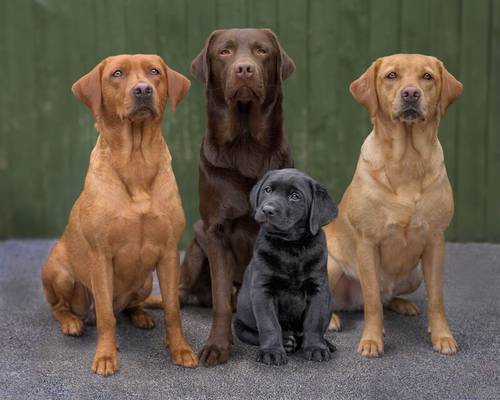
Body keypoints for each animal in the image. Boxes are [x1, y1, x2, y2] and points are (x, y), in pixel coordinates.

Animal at [41, 54, 197, 376]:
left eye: (154, 72)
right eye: (117, 74)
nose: (143, 90)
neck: (136, 161)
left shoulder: (169, 253)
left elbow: (173, 310)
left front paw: (180, 349)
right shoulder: (101, 257)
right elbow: (105, 317)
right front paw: (106, 355)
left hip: (145, 281)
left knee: (130, 306)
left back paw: (141, 315)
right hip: (60, 274)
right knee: (62, 308)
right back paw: (71, 322)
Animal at [233, 169, 336, 366]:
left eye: (295, 196)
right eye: (267, 190)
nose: (267, 209)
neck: (290, 247)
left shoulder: (318, 289)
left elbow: (314, 322)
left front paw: (316, 348)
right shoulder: (263, 289)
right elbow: (269, 324)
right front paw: (271, 352)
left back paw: (325, 343)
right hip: (239, 322)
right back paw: (287, 341)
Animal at [324, 52, 464, 356]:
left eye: (427, 76)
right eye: (391, 76)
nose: (411, 93)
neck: (407, 160)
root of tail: (349, 303)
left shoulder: (435, 241)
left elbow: (436, 299)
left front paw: (442, 336)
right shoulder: (367, 242)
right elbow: (372, 301)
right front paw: (372, 340)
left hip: (414, 276)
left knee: (387, 296)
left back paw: (403, 304)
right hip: (330, 264)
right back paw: (330, 319)